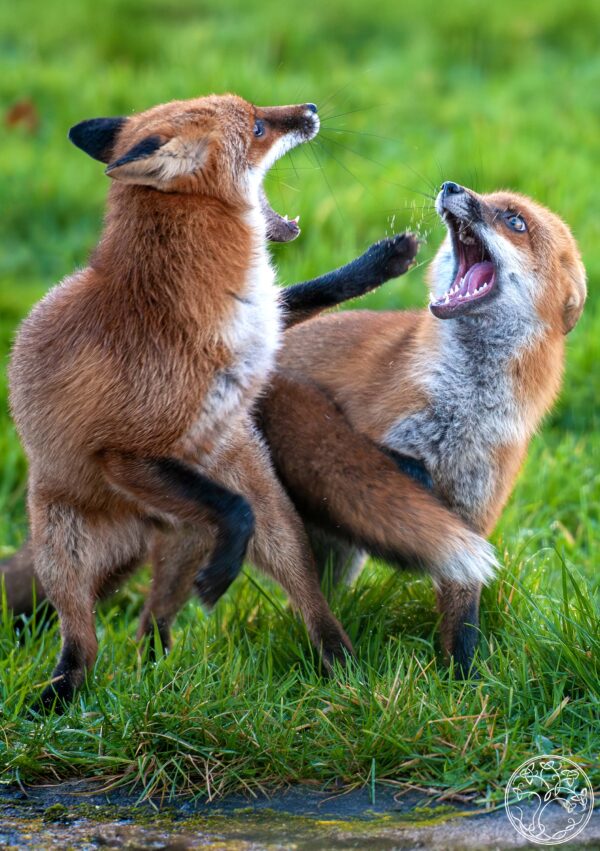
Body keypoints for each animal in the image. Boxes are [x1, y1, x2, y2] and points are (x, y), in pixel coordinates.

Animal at [7, 92, 426, 709]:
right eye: (257, 127)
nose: (310, 108)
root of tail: (151, 525)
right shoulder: (124, 454)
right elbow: (233, 510)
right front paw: (223, 573)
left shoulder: (264, 326)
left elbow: (304, 295)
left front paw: (381, 262)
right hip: (65, 558)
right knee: (84, 644)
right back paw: (57, 702)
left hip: (267, 530)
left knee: (172, 620)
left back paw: (334, 670)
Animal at [259, 181, 586, 674]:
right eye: (484, 196)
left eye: (515, 221)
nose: (451, 187)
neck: (465, 410)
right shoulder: (374, 424)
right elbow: (381, 456)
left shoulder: (475, 515)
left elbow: (463, 621)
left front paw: (466, 682)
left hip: (340, 552)